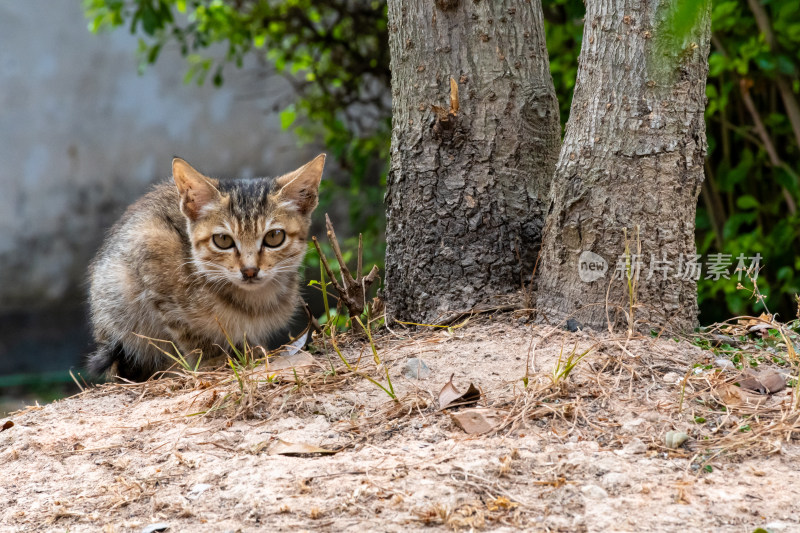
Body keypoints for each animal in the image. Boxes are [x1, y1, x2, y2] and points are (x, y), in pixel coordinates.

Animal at [87, 152, 324, 380]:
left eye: (274, 237)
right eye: (223, 240)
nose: (249, 270)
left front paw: (249, 351)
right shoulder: (151, 250)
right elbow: (187, 331)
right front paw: (212, 359)